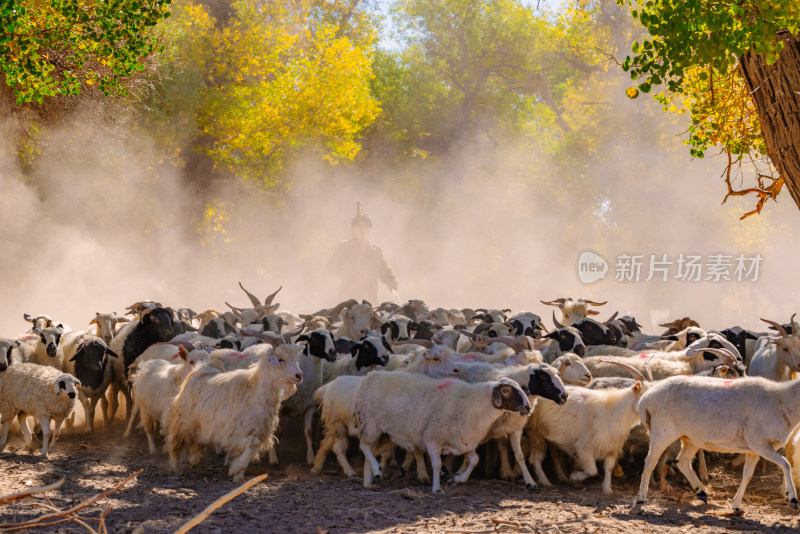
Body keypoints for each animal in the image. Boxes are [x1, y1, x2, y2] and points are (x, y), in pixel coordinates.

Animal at [166, 338, 304, 484]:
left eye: (296, 358)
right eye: (280, 359)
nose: (299, 375)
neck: (255, 391)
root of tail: (200, 370)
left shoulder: (259, 430)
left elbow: (251, 447)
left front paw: (238, 473)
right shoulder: (235, 432)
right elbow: (252, 444)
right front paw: (237, 468)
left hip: (199, 424)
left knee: (195, 441)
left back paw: (194, 459)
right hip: (183, 420)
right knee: (175, 442)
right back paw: (175, 467)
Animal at [354, 372, 532, 494]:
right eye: (506, 390)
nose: (528, 407)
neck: (472, 404)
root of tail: (370, 376)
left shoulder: (462, 441)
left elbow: (475, 459)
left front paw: (457, 479)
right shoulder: (433, 439)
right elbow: (437, 464)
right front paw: (437, 488)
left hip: (388, 434)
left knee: (370, 450)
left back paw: (369, 481)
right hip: (371, 424)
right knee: (364, 446)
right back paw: (377, 471)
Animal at [636, 374, 800, 512]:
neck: (782, 402)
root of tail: (644, 400)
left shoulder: (754, 449)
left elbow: (747, 475)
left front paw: (736, 505)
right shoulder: (759, 443)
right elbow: (786, 464)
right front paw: (792, 497)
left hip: (691, 437)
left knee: (682, 461)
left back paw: (701, 492)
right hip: (663, 431)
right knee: (650, 461)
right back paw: (640, 498)